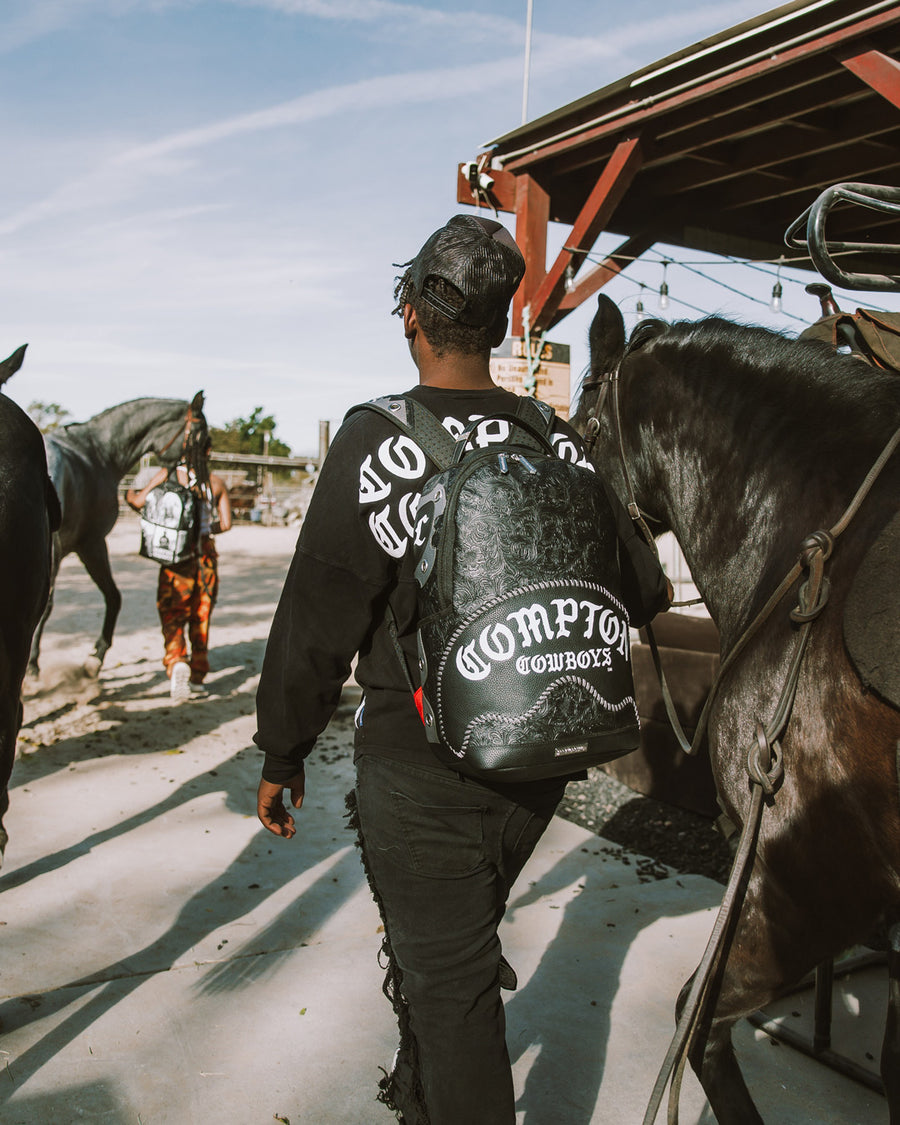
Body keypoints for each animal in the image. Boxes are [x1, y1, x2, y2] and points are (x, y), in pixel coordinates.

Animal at [28, 393, 208, 675]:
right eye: (202, 438)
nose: (201, 482)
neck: (99, 453)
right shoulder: (91, 544)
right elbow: (110, 597)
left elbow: (110, 596)